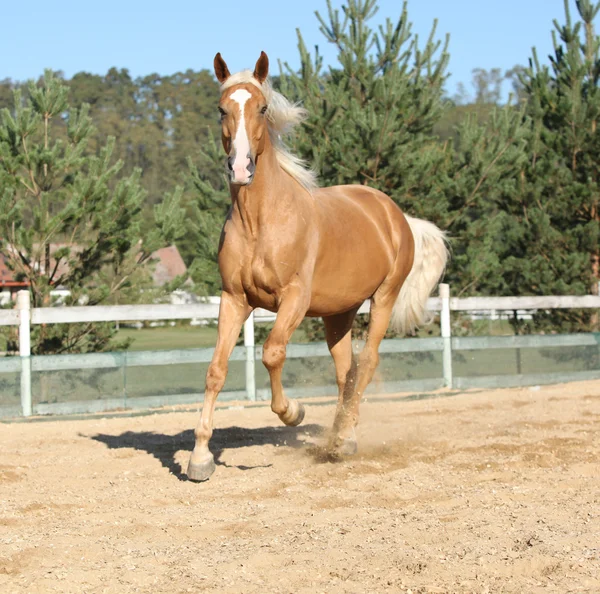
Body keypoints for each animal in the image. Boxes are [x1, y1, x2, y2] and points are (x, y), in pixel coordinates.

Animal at [186, 52, 446, 480]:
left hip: (384, 298)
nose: (240, 168)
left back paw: (340, 438)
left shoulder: (294, 298)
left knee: (367, 363)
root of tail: (397, 215)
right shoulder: (234, 299)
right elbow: (215, 370)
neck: (261, 221)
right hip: (339, 313)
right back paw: (344, 437)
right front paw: (200, 457)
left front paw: (293, 411)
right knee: (347, 370)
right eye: (221, 109)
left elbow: (272, 353)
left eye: (262, 108)